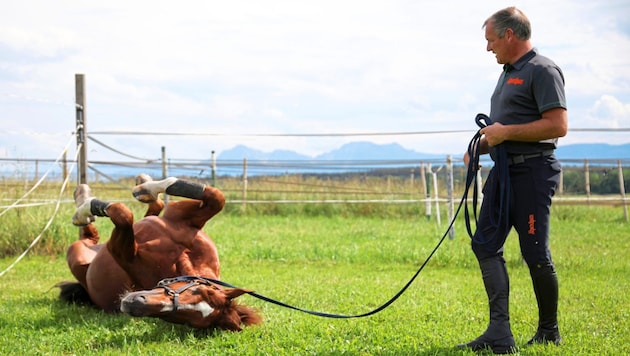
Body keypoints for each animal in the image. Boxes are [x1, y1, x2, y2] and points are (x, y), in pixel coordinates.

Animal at [59, 175, 264, 330]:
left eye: (185, 320)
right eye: (198, 290)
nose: (135, 304)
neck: (181, 257)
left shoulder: (122, 253)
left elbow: (122, 213)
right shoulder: (180, 214)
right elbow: (216, 197)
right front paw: (148, 188)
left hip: (76, 253)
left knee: (90, 234)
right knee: (152, 209)